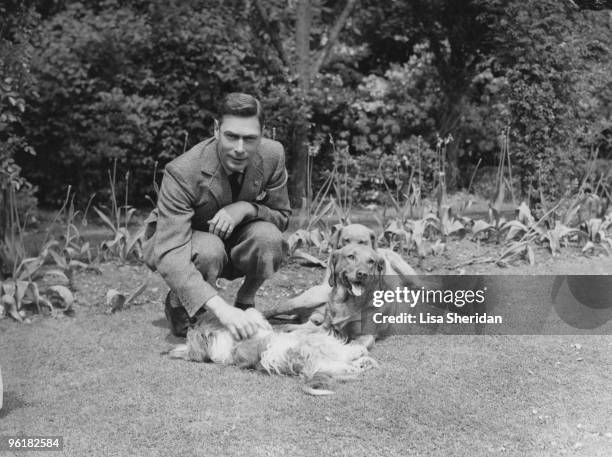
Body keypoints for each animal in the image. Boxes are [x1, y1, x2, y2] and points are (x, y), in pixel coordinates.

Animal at [167, 306, 378, 396]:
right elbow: (253, 313)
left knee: (346, 364)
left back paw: (363, 362)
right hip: (320, 344)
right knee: (347, 357)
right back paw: (362, 357)